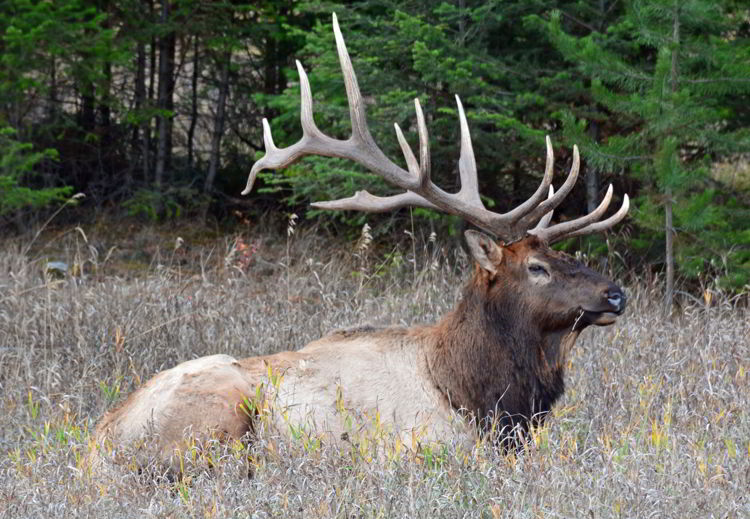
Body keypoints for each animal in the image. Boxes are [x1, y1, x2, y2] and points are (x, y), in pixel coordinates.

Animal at [91, 15, 632, 472]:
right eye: (537, 267)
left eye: (567, 255)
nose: (615, 293)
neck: (476, 394)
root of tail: (100, 439)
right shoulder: (423, 444)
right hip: (217, 409)